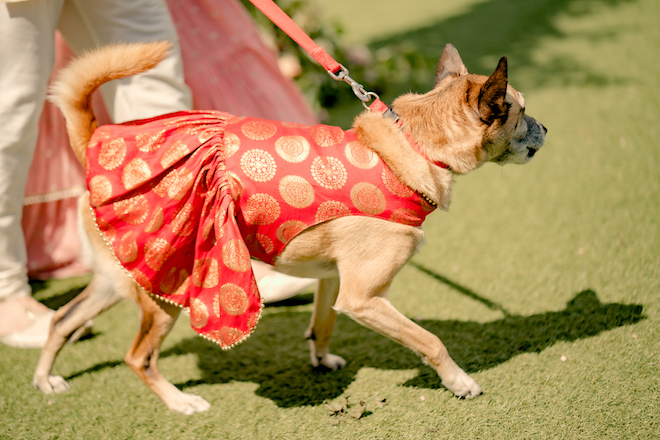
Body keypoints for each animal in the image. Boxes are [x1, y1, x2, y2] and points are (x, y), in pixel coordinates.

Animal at [33, 40, 544, 412]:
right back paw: (179, 402)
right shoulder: (364, 298)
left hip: (116, 279)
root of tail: (92, 143)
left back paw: (45, 378)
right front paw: (459, 381)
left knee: (61, 320)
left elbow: (323, 324)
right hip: (162, 294)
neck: (410, 146)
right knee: (137, 358)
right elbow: (430, 340)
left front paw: (320, 358)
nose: (546, 128)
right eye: (520, 112)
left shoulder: (334, 282)